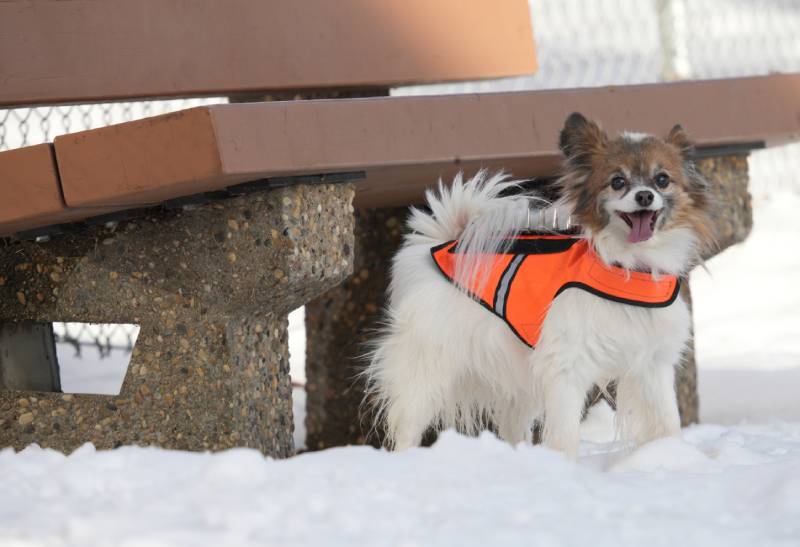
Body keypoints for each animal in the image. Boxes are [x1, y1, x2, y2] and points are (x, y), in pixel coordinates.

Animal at [368, 112, 712, 458]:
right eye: (618, 181)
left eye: (662, 179)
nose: (644, 196)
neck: (628, 268)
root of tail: (441, 241)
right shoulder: (566, 368)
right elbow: (564, 436)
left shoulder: (653, 366)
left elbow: (667, 423)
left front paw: (673, 455)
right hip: (428, 371)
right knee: (408, 426)